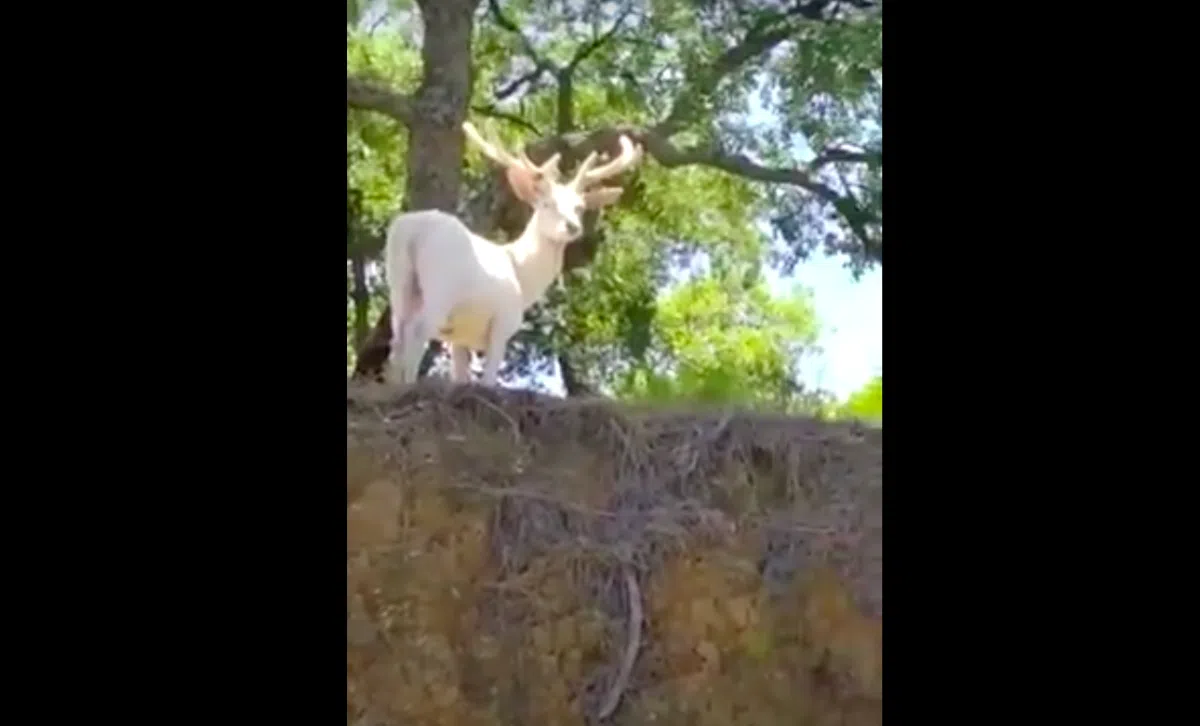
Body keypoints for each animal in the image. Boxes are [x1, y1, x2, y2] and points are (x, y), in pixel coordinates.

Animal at [383, 121, 643, 387]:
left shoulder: (460, 336)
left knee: (398, 336)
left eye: (579, 207)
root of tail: (412, 231)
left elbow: (461, 376)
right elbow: (488, 380)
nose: (572, 227)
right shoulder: (502, 323)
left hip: (399, 281)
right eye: (546, 204)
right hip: (441, 287)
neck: (521, 275)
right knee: (417, 330)